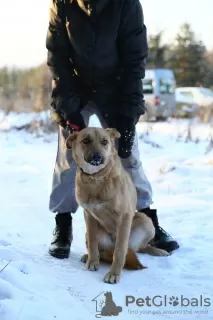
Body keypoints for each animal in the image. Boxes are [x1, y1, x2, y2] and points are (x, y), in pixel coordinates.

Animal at [65, 126, 169, 284]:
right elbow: (93, 243)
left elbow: (120, 251)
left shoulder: (124, 217)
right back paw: (90, 256)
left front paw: (114, 274)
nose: (97, 156)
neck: (96, 179)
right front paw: (92, 261)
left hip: (145, 221)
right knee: (100, 249)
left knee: (140, 248)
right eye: (86, 140)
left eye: (104, 142)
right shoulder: (89, 215)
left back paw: (157, 250)